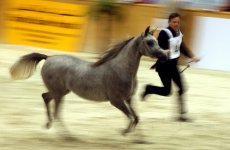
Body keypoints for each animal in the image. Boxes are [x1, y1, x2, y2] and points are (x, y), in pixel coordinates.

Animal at [9, 26, 168, 135]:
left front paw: (137, 138)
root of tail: (48, 58)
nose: (165, 56)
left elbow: (136, 117)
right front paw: (124, 132)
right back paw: (68, 136)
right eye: (149, 42)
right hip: (59, 94)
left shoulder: (128, 98)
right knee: (57, 112)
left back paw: (48, 125)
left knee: (45, 97)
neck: (121, 69)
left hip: (61, 91)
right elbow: (131, 118)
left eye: (157, 41)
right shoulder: (116, 101)